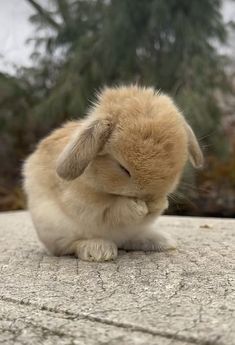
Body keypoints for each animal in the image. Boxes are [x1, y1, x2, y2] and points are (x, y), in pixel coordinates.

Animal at [22, 85, 204, 260]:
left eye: (176, 167)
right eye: (123, 168)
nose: (150, 200)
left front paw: (159, 204)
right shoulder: (84, 203)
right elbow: (110, 210)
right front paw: (137, 207)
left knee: (131, 240)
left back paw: (163, 241)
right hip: (56, 229)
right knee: (69, 246)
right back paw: (99, 250)